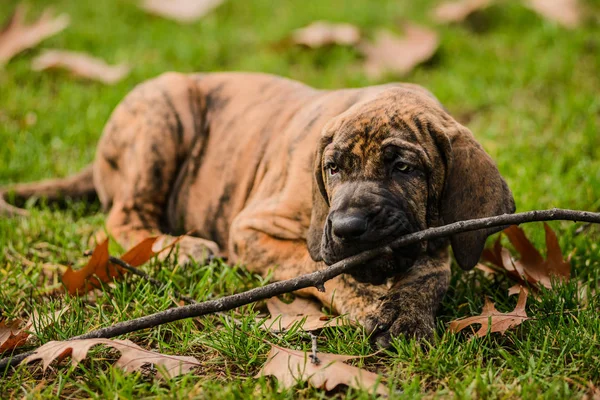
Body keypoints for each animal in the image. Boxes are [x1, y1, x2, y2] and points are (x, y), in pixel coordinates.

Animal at [1, 72, 516, 346]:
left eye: (404, 167)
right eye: (333, 168)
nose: (347, 227)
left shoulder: (435, 241)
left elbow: (431, 273)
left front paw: (406, 310)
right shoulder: (251, 230)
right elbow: (324, 269)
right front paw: (368, 300)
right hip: (162, 115)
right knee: (124, 216)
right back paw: (180, 248)